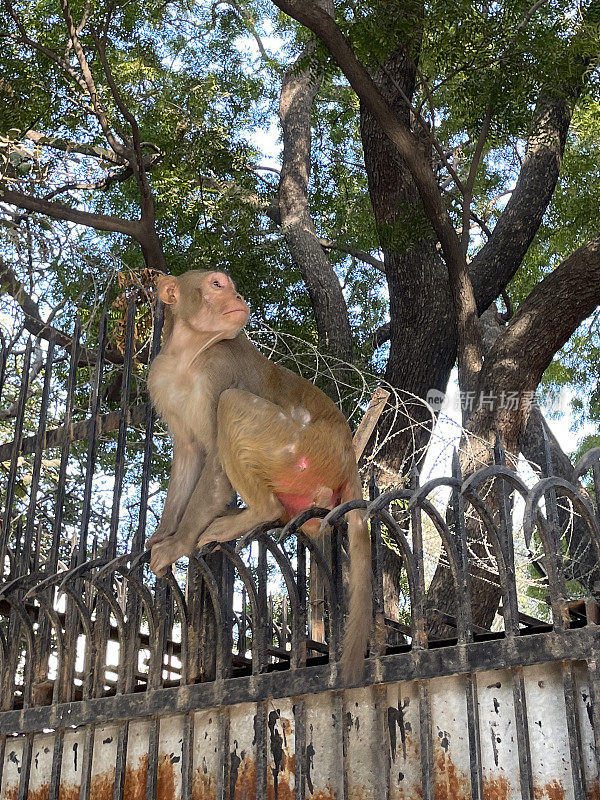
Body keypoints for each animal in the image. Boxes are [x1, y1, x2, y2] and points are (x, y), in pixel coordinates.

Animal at [145, 272, 370, 680]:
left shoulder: (220, 367)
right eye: (217, 284)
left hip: (302, 449)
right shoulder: (161, 378)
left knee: (231, 404)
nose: (237, 296)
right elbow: (188, 453)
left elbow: (215, 457)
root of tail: (347, 455)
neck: (190, 354)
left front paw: (178, 543)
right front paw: (163, 533)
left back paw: (259, 511)